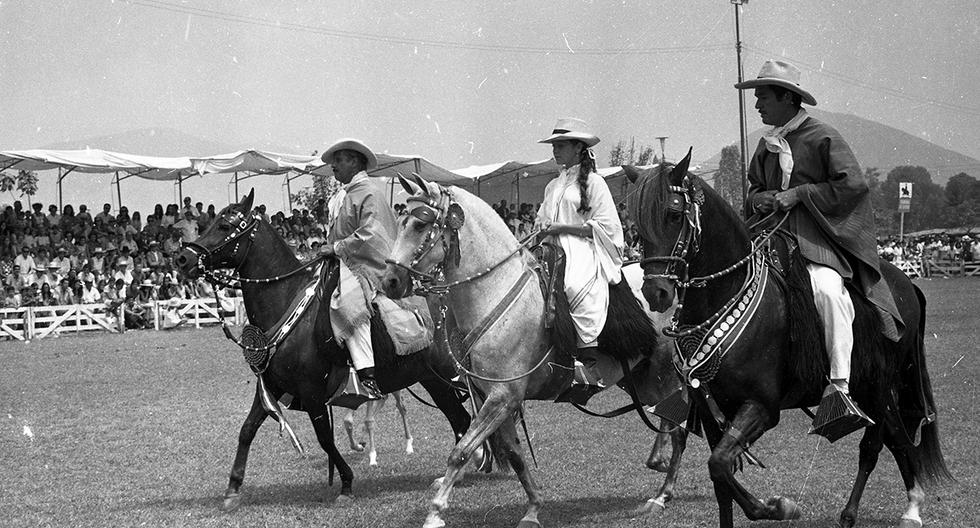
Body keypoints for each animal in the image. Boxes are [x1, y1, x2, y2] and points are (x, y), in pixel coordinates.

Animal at [177, 191, 474, 512]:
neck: (287, 306)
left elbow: (325, 439)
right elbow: (247, 430)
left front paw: (346, 483)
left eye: (225, 225)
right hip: (434, 382)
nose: (184, 257)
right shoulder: (270, 387)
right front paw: (232, 489)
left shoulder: (313, 393)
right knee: (461, 421)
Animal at [624, 152, 952, 528]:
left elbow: (719, 465)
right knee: (890, 439)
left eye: (674, 215)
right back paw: (871, 510)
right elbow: (721, 479)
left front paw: (779, 507)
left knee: (882, 443)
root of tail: (905, 282)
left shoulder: (762, 407)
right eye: (637, 225)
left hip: (880, 386)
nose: (656, 292)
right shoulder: (711, 410)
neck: (727, 293)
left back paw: (902, 509)